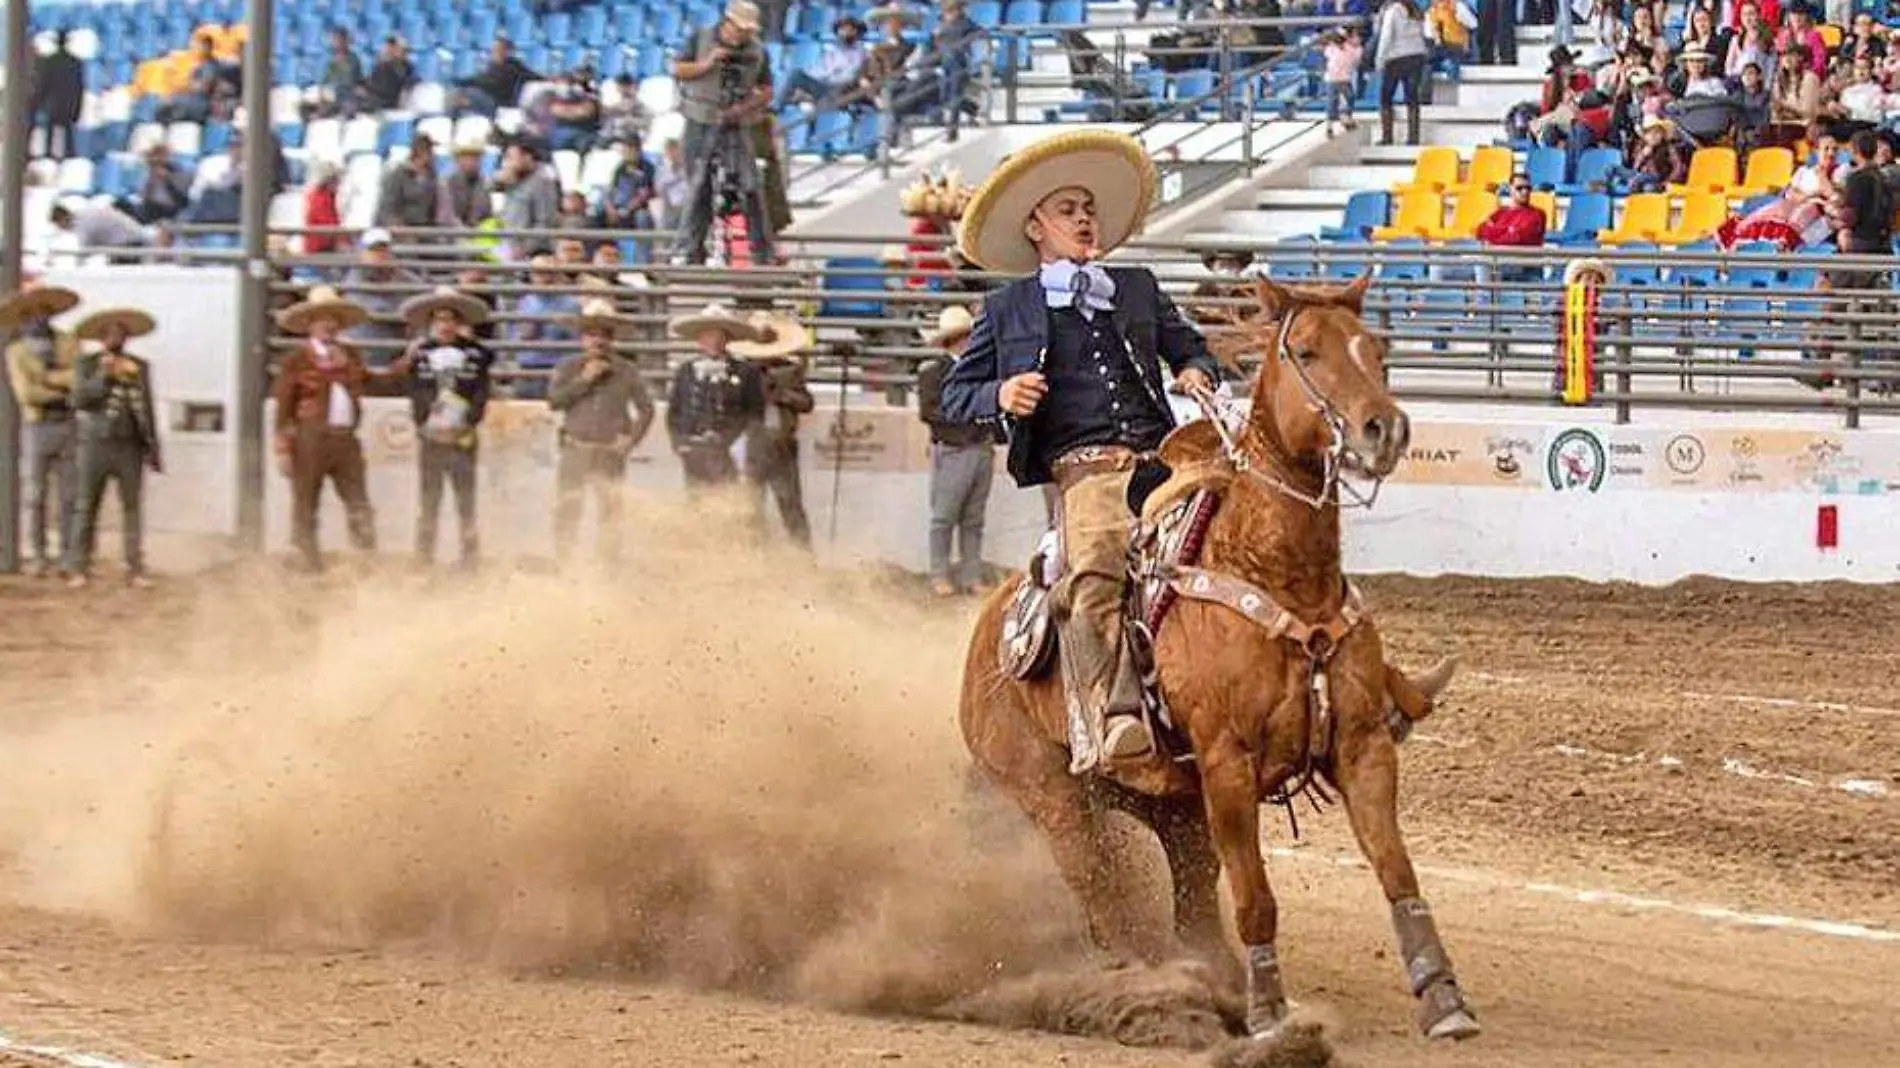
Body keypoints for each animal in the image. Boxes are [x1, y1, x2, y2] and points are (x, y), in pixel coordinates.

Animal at [965, 271, 1482, 1041]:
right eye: (1306, 350)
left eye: (1375, 349)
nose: (1383, 430)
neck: (1282, 575)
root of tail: (986, 633)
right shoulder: (1227, 761)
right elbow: (1257, 897)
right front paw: (1270, 1014)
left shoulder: (1360, 746)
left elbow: (1397, 871)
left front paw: (1444, 998)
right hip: (1049, 794)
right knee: (1096, 889)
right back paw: (1138, 987)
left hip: (1171, 804)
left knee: (1192, 898)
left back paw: (1207, 981)